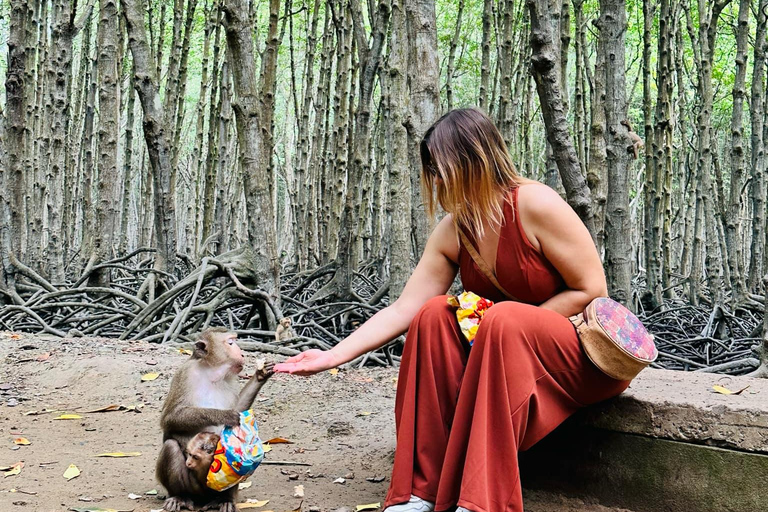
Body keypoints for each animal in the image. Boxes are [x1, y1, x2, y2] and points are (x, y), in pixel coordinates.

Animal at [157, 328, 276, 512]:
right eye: (230, 343)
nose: (242, 353)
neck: (211, 373)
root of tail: (202, 497)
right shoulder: (184, 374)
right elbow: (170, 418)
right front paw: (224, 415)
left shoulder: (231, 379)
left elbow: (239, 407)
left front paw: (260, 375)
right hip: (192, 485)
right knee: (170, 447)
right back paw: (179, 497)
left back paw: (223, 500)